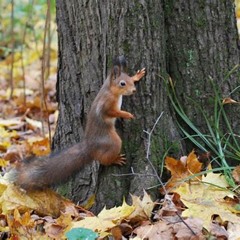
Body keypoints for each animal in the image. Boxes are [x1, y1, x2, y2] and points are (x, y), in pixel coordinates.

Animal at [7, 56, 145, 189]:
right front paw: (126, 114)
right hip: (113, 142)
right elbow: (112, 112)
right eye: (122, 83)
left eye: (129, 79)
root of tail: (89, 146)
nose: (133, 90)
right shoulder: (106, 105)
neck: (110, 90)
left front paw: (138, 75)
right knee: (103, 160)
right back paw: (115, 160)